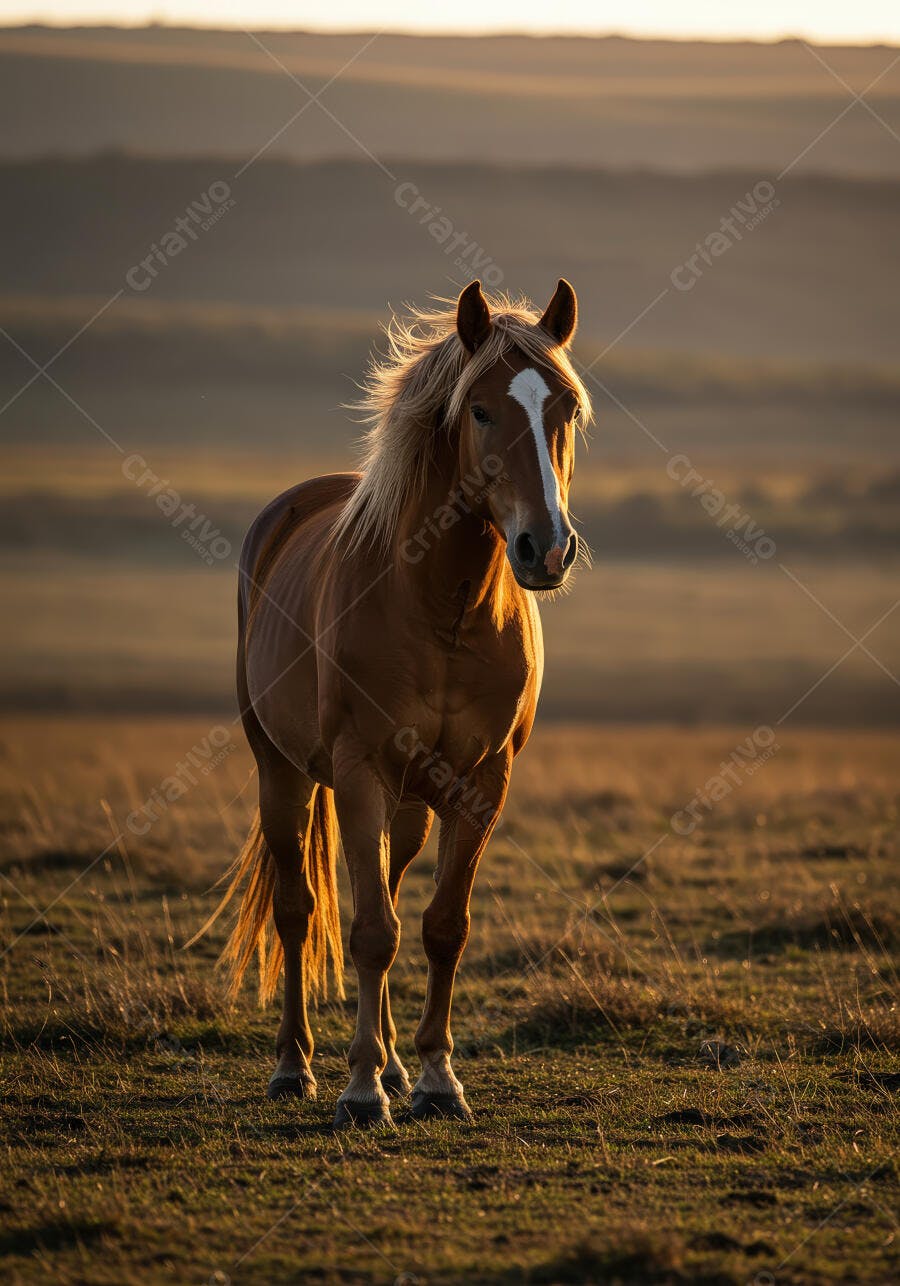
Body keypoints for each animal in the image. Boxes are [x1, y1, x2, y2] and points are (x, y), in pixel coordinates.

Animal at [197, 278, 592, 1127]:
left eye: (566, 408)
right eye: (480, 409)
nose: (545, 549)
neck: (444, 607)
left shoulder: (482, 783)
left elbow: (442, 927)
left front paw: (437, 1079)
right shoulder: (357, 770)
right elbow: (370, 933)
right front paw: (358, 1089)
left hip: (408, 803)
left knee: (389, 884)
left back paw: (394, 1065)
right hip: (283, 772)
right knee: (299, 909)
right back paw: (296, 1067)